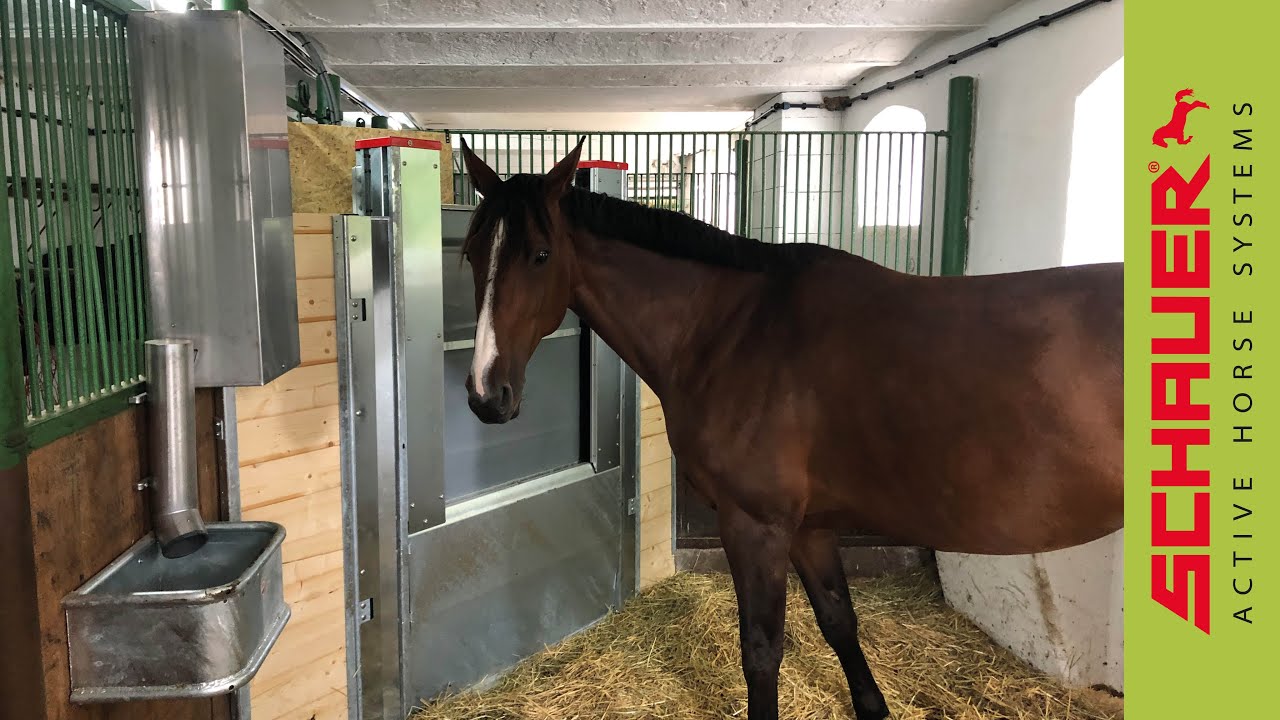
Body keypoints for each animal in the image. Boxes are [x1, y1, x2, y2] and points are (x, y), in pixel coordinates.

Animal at [456, 138, 1123, 720]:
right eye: (470, 253)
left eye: (540, 255)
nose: (487, 394)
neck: (731, 329)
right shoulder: (810, 527)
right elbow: (837, 621)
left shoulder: (755, 525)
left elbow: (761, 651)